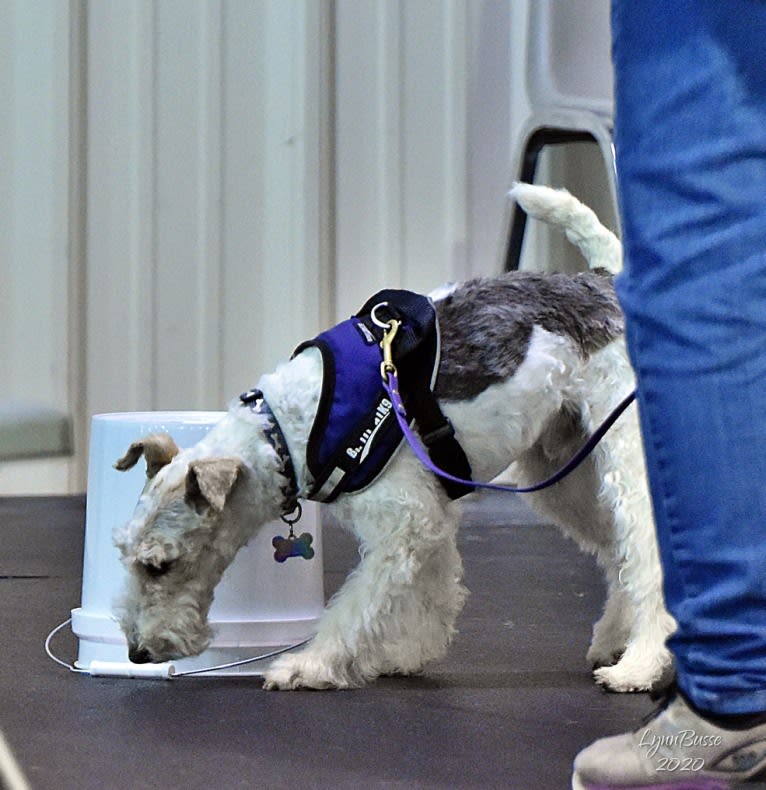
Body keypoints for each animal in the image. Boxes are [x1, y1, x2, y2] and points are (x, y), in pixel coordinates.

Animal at [114, 184, 680, 692]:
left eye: (160, 565)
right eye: (124, 552)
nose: (137, 652)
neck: (284, 435)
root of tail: (605, 281)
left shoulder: (406, 521)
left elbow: (355, 605)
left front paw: (311, 666)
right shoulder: (429, 517)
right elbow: (429, 596)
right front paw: (403, 656)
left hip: (624, 457)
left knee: (647, 559)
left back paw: (638, 667)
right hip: (561, 472)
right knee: (618, 556)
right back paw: (613, 641)